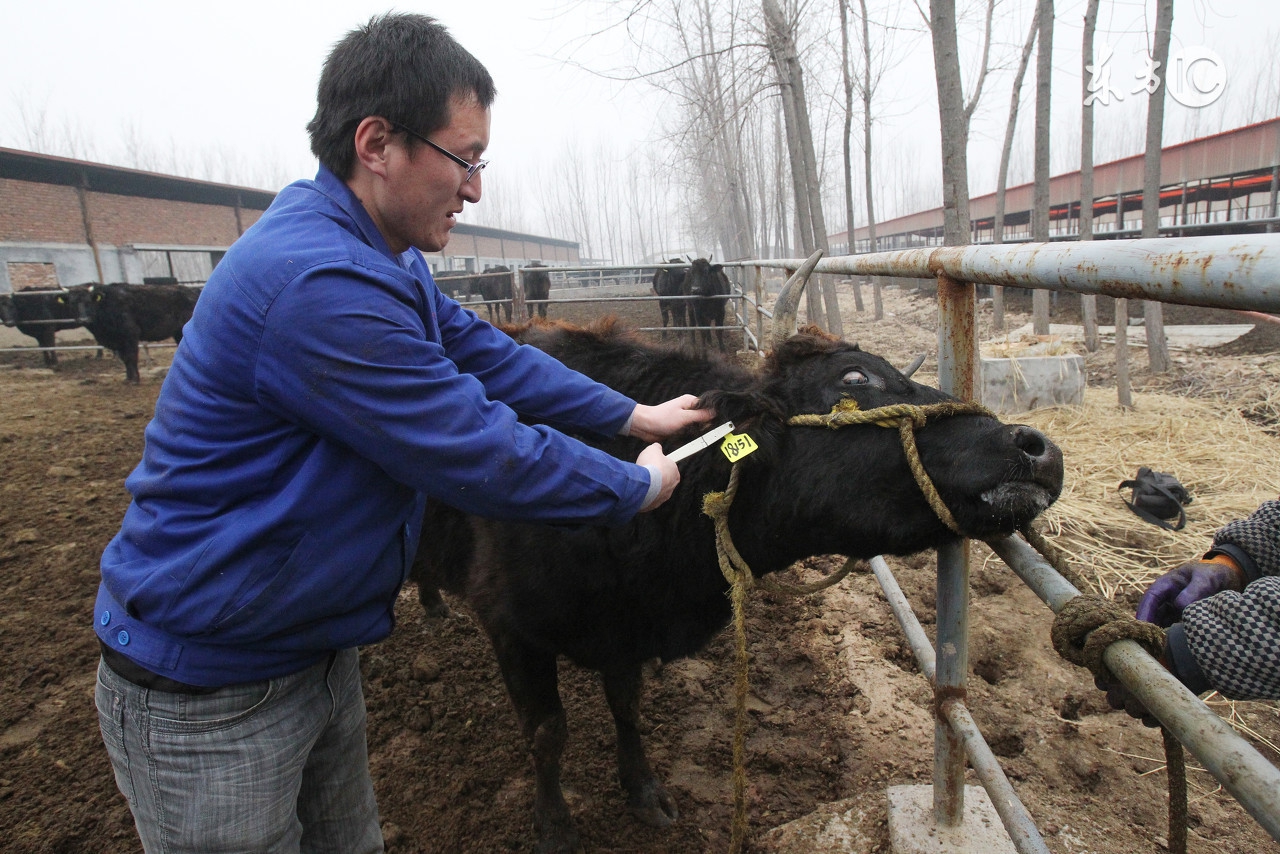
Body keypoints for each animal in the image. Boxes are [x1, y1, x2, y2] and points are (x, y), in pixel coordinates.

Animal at [68, 284, 199, 384]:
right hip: (178, 333)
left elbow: (130, 357)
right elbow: (124, 359)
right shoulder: (119, 341)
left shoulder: (130, 334)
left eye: (88, 302)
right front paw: (128, 378)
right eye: (72, 303)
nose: (83, 319)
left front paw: (135, 379)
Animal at [409, 262, 1059, 854]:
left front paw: (645, 792)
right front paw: (554, 827)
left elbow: (626, 707)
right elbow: (546, 732)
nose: (1037, 448)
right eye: (856, 377)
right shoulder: (511, 628)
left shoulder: (625, 629)